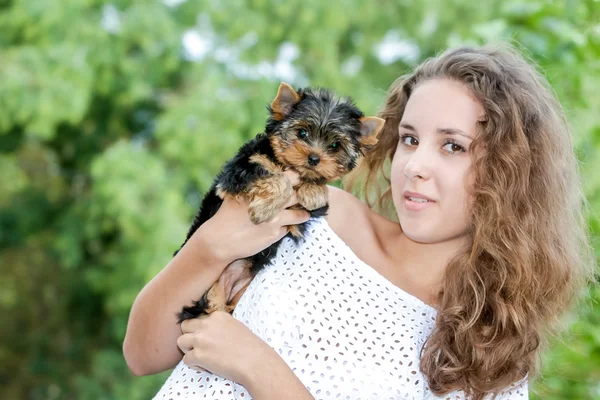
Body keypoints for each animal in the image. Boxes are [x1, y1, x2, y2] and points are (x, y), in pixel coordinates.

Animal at [176, 82, 386, 322]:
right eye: (302, 132)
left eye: (335, 145)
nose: (314, 159)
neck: (286, 164)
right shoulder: (240, 170)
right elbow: (274, 176)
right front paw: (264, 209)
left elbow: (313, 195)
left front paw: (313, 190)